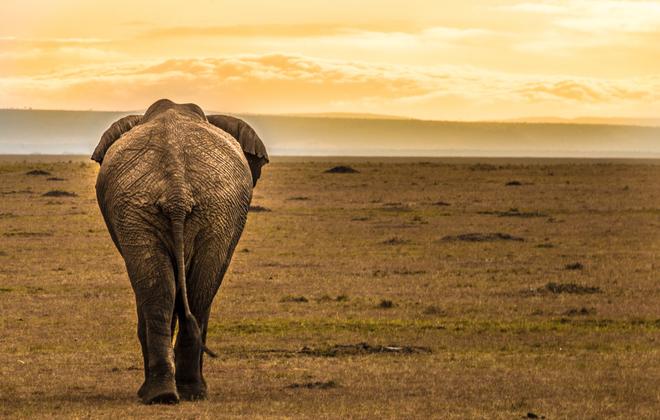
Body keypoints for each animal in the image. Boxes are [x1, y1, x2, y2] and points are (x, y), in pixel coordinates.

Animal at [91, 98, 270, 404]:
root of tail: (177, 189)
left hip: (204, 210)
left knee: (178, 292)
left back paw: (171, 393)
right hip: (175, 210)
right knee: (186, 292)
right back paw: (175, 393)